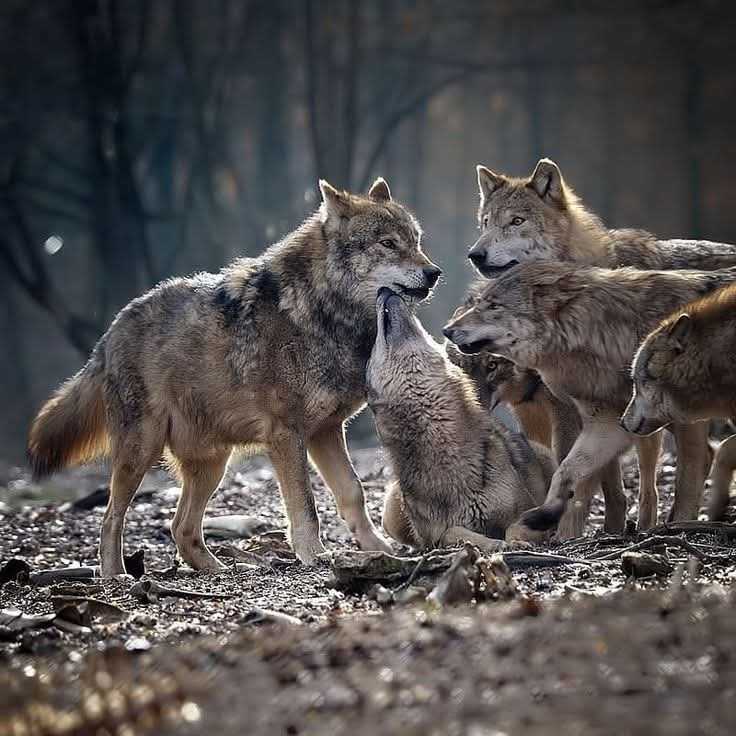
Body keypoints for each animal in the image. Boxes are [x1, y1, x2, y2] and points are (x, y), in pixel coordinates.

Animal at [28, 178, 442, 575]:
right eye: (388, 243)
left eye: (416, 241)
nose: (435, 273)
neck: (323, 313)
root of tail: (109, 333)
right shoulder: (287, 435)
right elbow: (305, 505)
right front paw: (314, 555)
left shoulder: (325, 430)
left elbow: (353, 492)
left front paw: (380, 551)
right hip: (140, 452)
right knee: (112, 518)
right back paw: (116, 575)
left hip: (213, 463)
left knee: (180, 527)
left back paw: (219, 568)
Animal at [366, 287, 554, 553]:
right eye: (373, 346)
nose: (384, 289)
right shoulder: (438, 536)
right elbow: (452, 533)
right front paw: (491, 544)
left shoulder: (525, 509)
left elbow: (515, 527)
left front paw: (515, 542)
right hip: (392, 511)